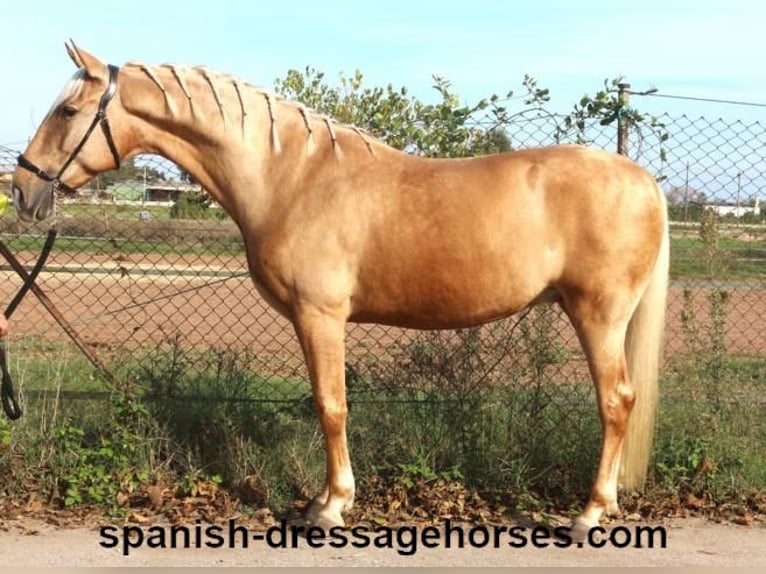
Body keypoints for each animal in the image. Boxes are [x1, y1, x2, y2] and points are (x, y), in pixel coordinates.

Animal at [13, 44, 672, 536]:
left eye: (67, 112)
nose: (21, 190)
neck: (293, 177)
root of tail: (645, 182)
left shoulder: (319, 316)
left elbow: (331, 406)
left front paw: (329, 506)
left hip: (598, 316)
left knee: (616, 402)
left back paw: (590, 514)